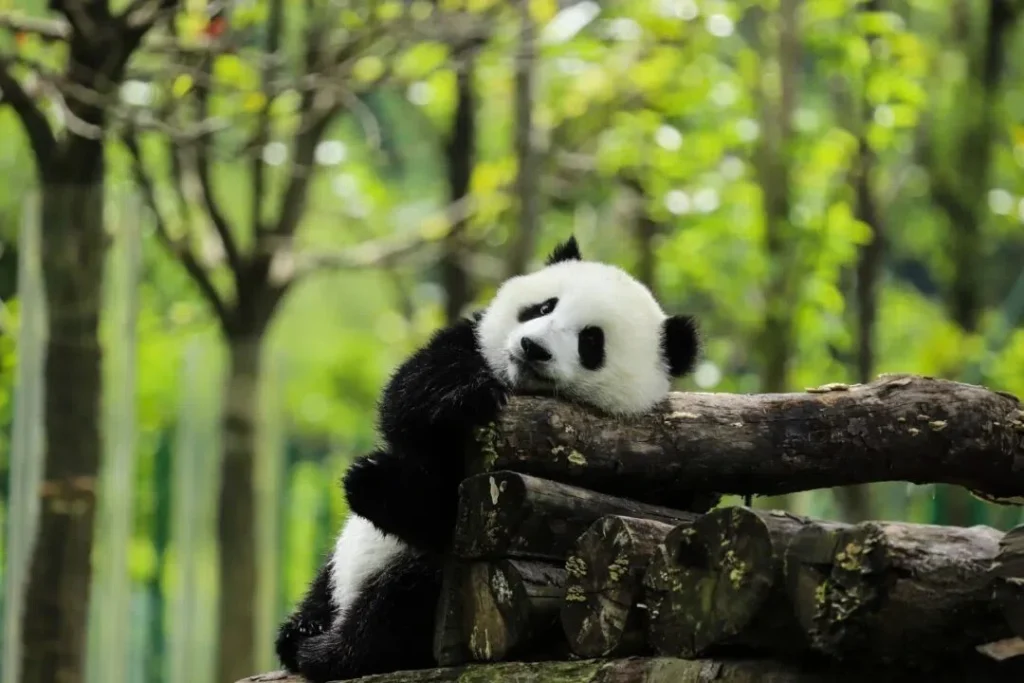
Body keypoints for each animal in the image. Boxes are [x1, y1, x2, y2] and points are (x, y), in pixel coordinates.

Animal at [275, 236, 703, 682]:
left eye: (591, 341)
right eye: (543, 307)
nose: (533, 348)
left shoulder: (639, 467)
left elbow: (451, 511)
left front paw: (386, 486)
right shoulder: (471, 344)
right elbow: (409, 398)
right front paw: (465, 397)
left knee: (402, 601)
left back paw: (330, 650)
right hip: (337, 570)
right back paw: (299, 632)